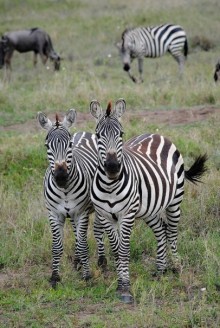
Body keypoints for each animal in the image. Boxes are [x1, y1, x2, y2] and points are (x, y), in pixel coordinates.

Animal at [37, 109, 106, 288]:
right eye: (47, 146)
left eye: (69, 145)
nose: (61, 176)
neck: (65, 190)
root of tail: (83, 132)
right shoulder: (54, 214)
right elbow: (56, 246)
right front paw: (55, 277)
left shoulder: (81, 213)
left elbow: (83, 245)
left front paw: (87, 276)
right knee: (76, 232)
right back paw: (77, 262)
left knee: (98, 230)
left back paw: (102, 262)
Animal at [89, 98, 206, 304]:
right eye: (98, 135)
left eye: (121, 134)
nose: (112, 167)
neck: (110, 185)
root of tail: (155, 134)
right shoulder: (105, 216)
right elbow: (116, 249)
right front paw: (120, 284)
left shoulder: (127, 215)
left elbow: (124, 250)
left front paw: (125, 287)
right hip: (148, 209)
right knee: (161, 230)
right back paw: (160, 269)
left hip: (175, 201)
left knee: (172, 231)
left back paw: (176, 267)